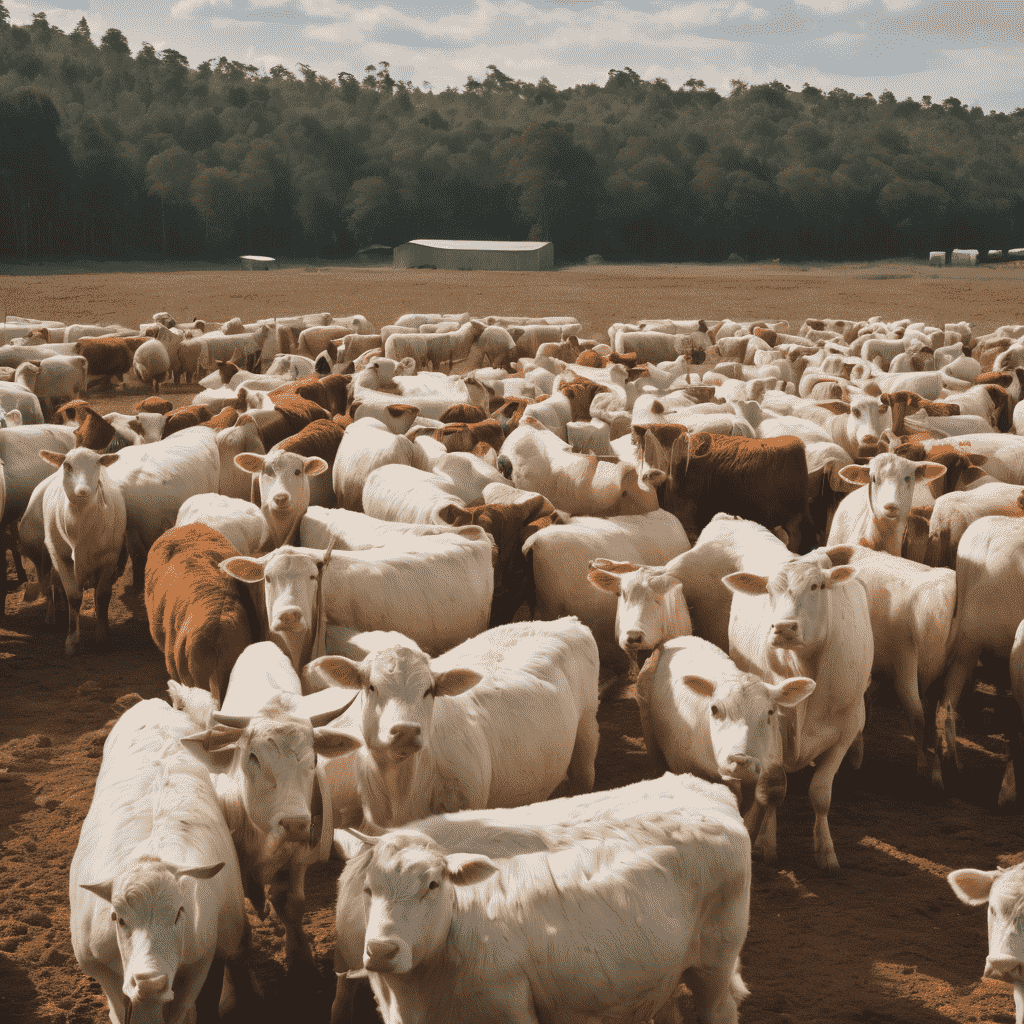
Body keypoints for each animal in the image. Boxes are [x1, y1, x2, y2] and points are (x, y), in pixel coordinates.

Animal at [70, 700, 247, 1024]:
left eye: (179, 913)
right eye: (118, 918)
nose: (151, 982)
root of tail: (154, 702)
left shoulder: (199, 964)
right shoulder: (99, 968)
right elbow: (118, 1009)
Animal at [299, 614, 598, 831]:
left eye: (429, 690)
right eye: (372, 686)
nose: (406, 730)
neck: (402, 790)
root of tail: (564, 621)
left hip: (587, 729)